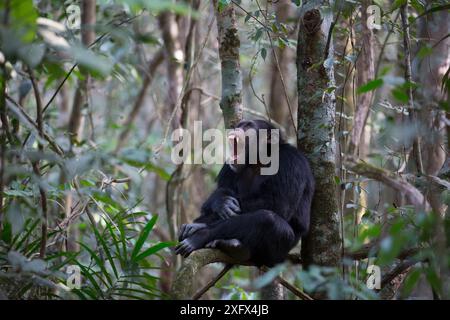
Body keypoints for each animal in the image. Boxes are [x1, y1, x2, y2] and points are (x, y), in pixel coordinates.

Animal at [174, 119, 314, 266]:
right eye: (239, 125)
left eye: (248, 126)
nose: (236, 129)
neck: (260, 160)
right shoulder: (228, 168)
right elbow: (222, 192)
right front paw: (220, 201)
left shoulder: (291, 162)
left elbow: (278, 203)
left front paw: (200, 225)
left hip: (277, 254)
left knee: (267, 219)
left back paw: (201, 236)